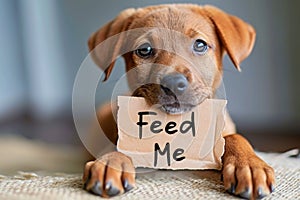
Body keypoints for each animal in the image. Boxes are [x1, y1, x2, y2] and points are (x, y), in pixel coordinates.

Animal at [82, 3, 274, 199]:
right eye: (145, 50)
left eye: (200, 44)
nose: (173, 84)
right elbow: (119, 145)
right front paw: (110, 161)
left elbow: (234, 137)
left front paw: (249, 164)